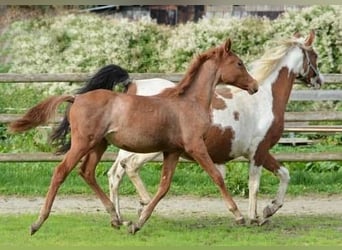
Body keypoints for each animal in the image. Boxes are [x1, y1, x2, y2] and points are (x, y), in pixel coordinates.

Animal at [9, 39, 258, 234]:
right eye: (239, 63)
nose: (254, 86)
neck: (189, 102)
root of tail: (76, 98)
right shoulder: (195, 146)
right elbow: (216, 176)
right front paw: (239, 216)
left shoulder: (173, 151)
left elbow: (164, 186)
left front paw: (136, 223)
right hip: (83, 143)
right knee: (61, 171)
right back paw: (37, 223)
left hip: (98, 145)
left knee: (87, 172)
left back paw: (116, 218)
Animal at [103, 29, 322, 225]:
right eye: (315, 55)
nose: (319, 80)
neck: (266, 98)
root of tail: (132, 85)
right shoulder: (259, 151)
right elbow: (254, 184)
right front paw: (254, 216)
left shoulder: (258, 152)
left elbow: (284, 174)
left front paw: (269, 210)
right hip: (149, 150)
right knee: (128, 167)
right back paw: (141, 206)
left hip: (131, 147)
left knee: (115, 174)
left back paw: (120, 217)